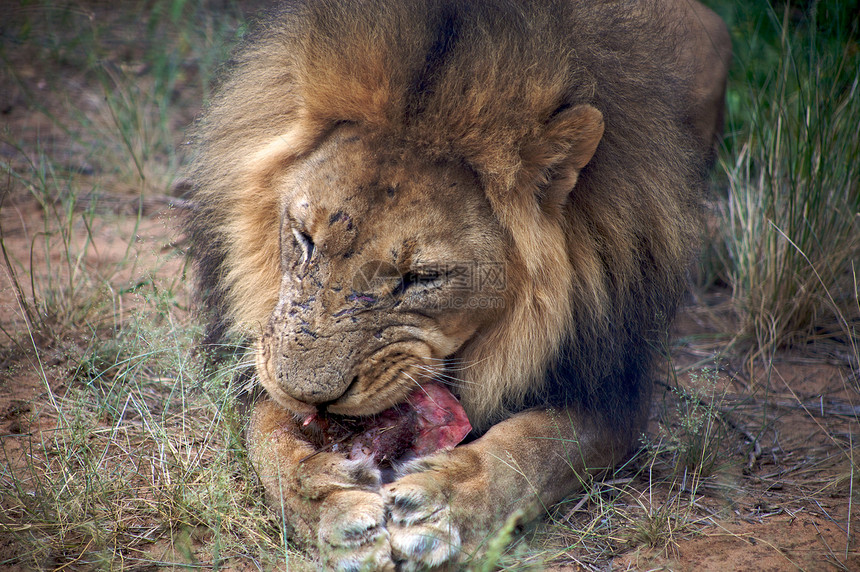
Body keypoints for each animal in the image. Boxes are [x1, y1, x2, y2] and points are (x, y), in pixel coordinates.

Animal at [185, 0, 728, 568]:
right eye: (305, 239)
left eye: (422, 277)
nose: (309, 396)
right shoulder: (262, 359)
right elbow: (267, 436)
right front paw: (333, 505)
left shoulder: (613, 390)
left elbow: (537, 447)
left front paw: (442, 504)